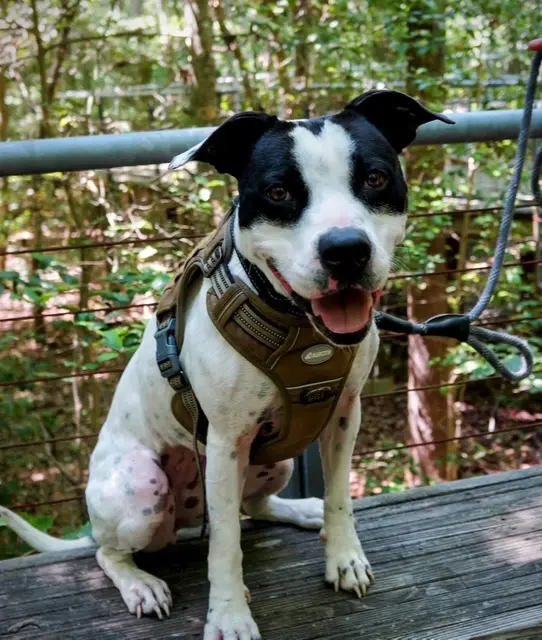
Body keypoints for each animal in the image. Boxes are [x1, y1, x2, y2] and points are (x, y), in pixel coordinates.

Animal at [1, 90, 454, 640]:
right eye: (278, 191)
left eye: (374, 179)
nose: (345, 250)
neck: (299, 328)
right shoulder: (224, 442)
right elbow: (224, 548)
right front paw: (230, 615)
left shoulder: (345, 415)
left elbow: (340, 495)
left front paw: (343, 557)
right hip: (141, 486)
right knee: (111, 553)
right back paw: (140, 585)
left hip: (274, 461)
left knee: (253, 506)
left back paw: (303, 511)